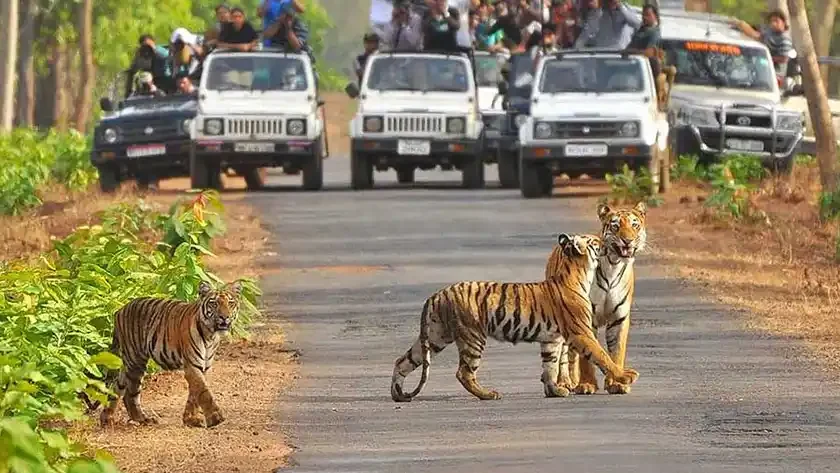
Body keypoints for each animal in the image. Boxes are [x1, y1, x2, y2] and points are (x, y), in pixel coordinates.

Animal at [93, 280, 241, 428]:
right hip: (136, 361)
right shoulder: (192, 365)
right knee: (130, 394)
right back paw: (143, 419)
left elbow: (194, 394)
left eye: (230, 303)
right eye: (214, 303)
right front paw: (215, 418)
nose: (224, 317)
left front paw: (190, 419)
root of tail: (120, 310)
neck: (211, 335)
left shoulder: (204, 367)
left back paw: (107, 419)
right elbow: (203, 391)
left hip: (128, 362)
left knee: (117, 387)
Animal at [390, 233, 640, 402]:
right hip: (472, 336)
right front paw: (626, 376)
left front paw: (554, 391)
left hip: (435, 336)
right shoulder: (581, 333)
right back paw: (489, 394)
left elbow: (550, 365)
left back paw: (398, 394)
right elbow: (602, 356)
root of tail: (436, 294)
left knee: (403, 361)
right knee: (464, 373)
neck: (579, 272)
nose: (607, 242)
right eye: (595, 242)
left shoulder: (551, 339)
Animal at [544, 200, 648, 394]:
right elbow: (587, 357)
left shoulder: (619, 318)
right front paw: (587, 384)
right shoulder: (586, 317)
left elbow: (616, 352)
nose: (628, 240)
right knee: (564, 353)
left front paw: (617, 383)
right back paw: (565, 382)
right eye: (615, 226)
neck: (613, 265)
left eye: (635, 225)